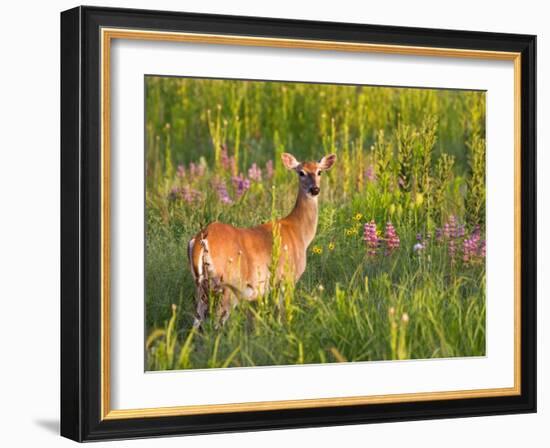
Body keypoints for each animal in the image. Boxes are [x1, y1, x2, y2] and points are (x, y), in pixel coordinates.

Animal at [189, 152, 336, 328]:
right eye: (301, 172)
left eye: (319, 172)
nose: (315, 189)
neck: (299, 232)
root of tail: (201, 238)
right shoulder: (288, 277)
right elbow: (284, 313)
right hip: (227, 283)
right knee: (216, 322)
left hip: (201, 285)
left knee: (196, 320)